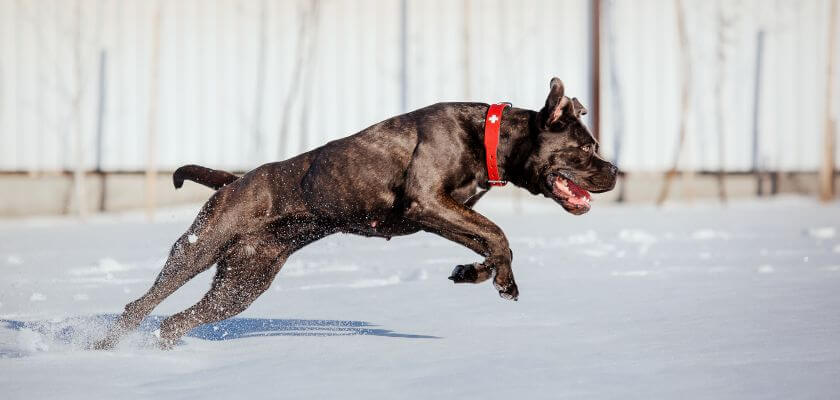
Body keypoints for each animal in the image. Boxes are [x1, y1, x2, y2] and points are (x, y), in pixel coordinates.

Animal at [93, 78, 616, 350]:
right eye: (586, 149)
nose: (614, 170)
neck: (487, 138)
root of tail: (235, 180)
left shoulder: (444, 212)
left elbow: (488, 242)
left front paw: (474, 274)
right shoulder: (428, 202)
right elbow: (499, 234)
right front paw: (500, 280)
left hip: (242, 283)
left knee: (175, 321)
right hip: (199, 249)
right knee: (140, 305)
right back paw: (102, 349)